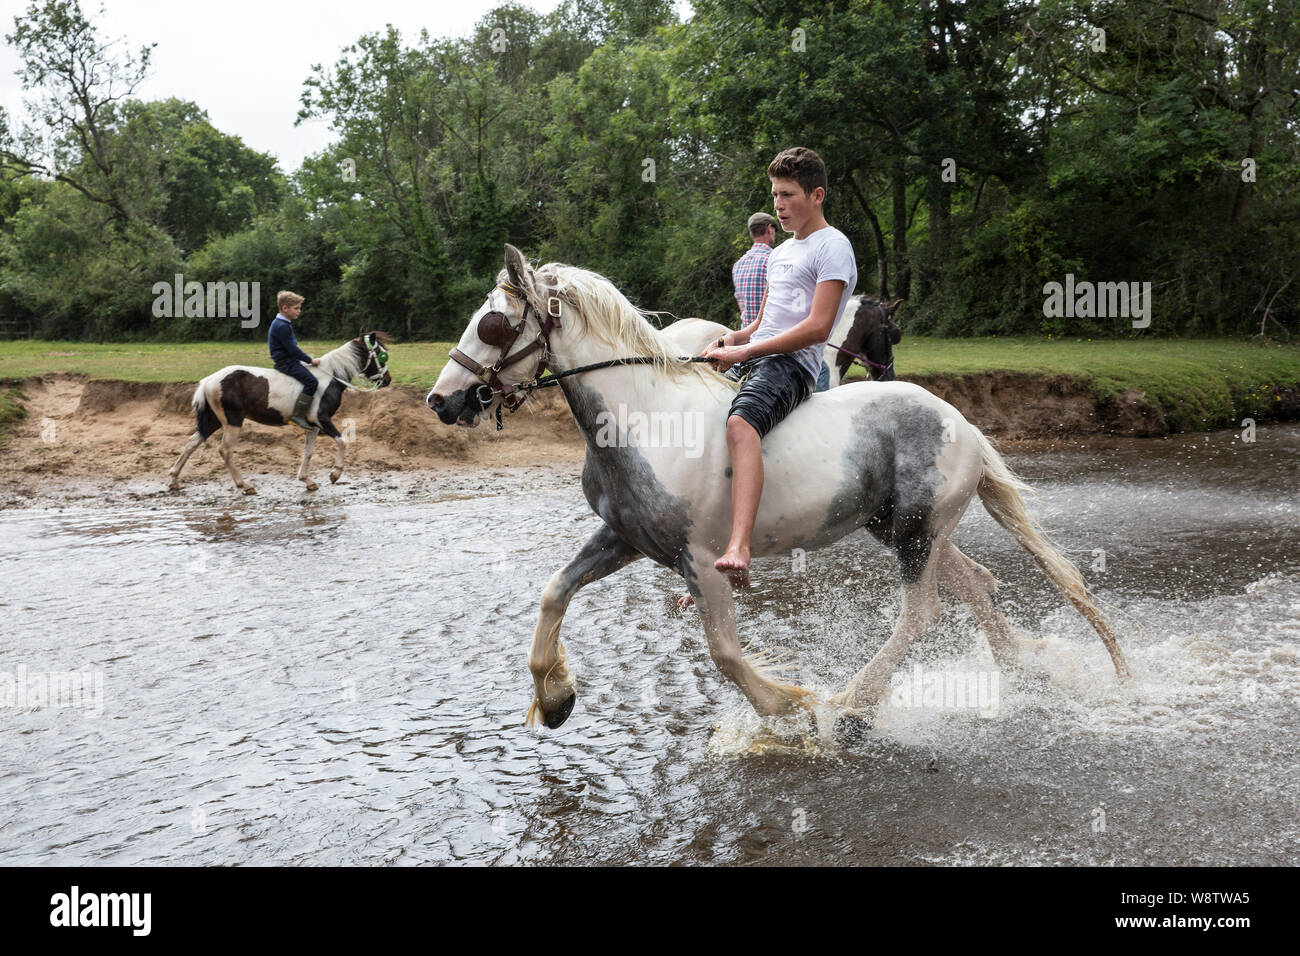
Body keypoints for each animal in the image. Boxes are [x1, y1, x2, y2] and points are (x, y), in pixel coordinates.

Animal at [169, 330, 390, 494]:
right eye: (381, 354)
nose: (387, 380)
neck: (331, 377)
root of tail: (209, 380)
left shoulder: (313, 425)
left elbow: (308, 452)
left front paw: (307, 481)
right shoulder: (322, 419)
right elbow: (342, 441)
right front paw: (335, 474)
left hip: (214, 420)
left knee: (192, 442)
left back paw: (174, 480)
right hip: (233, 421)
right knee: (225, 451)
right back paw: (245, 485)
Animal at [426, 247, 1128, 733]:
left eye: (493, 325)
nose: (441, 400)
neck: (642, 418)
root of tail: (965, 424)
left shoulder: (701, 560)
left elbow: (726, 655)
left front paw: (790, 707)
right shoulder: (624, 538)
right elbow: (553, 594)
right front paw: (555, 698)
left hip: (914, 533)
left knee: (922, 612)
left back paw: (853, 704)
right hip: (902, 528)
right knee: (976, 584)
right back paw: (1022, 674)